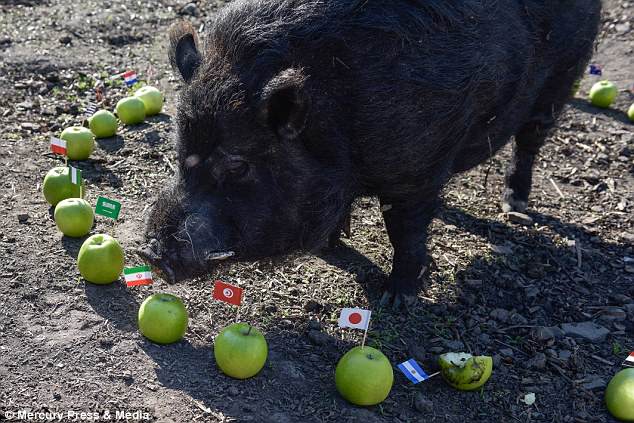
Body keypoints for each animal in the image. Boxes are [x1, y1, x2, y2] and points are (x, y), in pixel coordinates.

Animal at [141, 0, 600, 308]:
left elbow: (404, 229)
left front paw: (395, 299)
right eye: (181, 153)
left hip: (564, 76)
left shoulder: (415, 171)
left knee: (530, 140)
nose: (151, 254)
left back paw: (514, 205)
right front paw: (330, 247)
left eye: (238, 165)